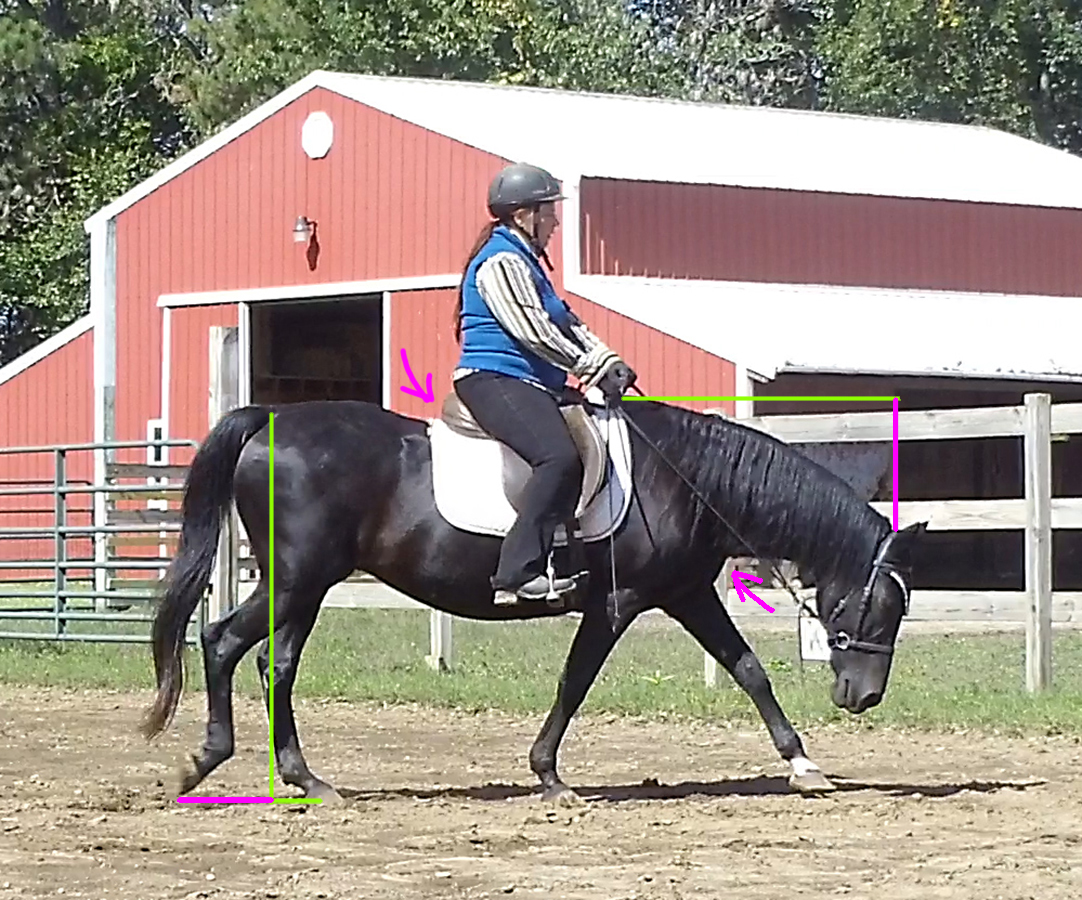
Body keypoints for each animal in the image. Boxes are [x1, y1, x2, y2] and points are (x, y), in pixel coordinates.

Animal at [141, 396, 926, 803]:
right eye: (880, 607)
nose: (865, 697)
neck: (684, 478)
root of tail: (271, 421)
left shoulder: (685, 592)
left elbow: (748, 670)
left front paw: (804, 765)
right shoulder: (619, 602)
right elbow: (574, 682)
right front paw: (549, 776)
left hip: (302, 587)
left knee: (277, 664)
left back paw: (306, 778)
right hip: (295, 581)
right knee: (223, 643)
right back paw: (207, 760)